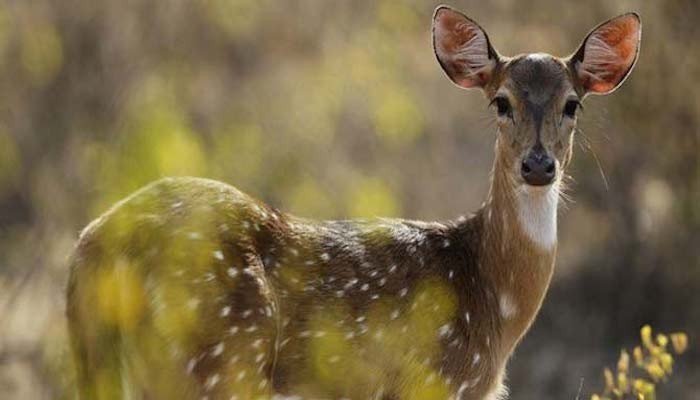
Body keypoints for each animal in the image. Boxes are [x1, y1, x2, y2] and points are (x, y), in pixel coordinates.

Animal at [66, 5, 641, 400]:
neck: (491, 299)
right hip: (217, 358)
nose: (539, 165)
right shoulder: (435, 381)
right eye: (501, 102)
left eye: (573, 104)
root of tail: (95, 247)